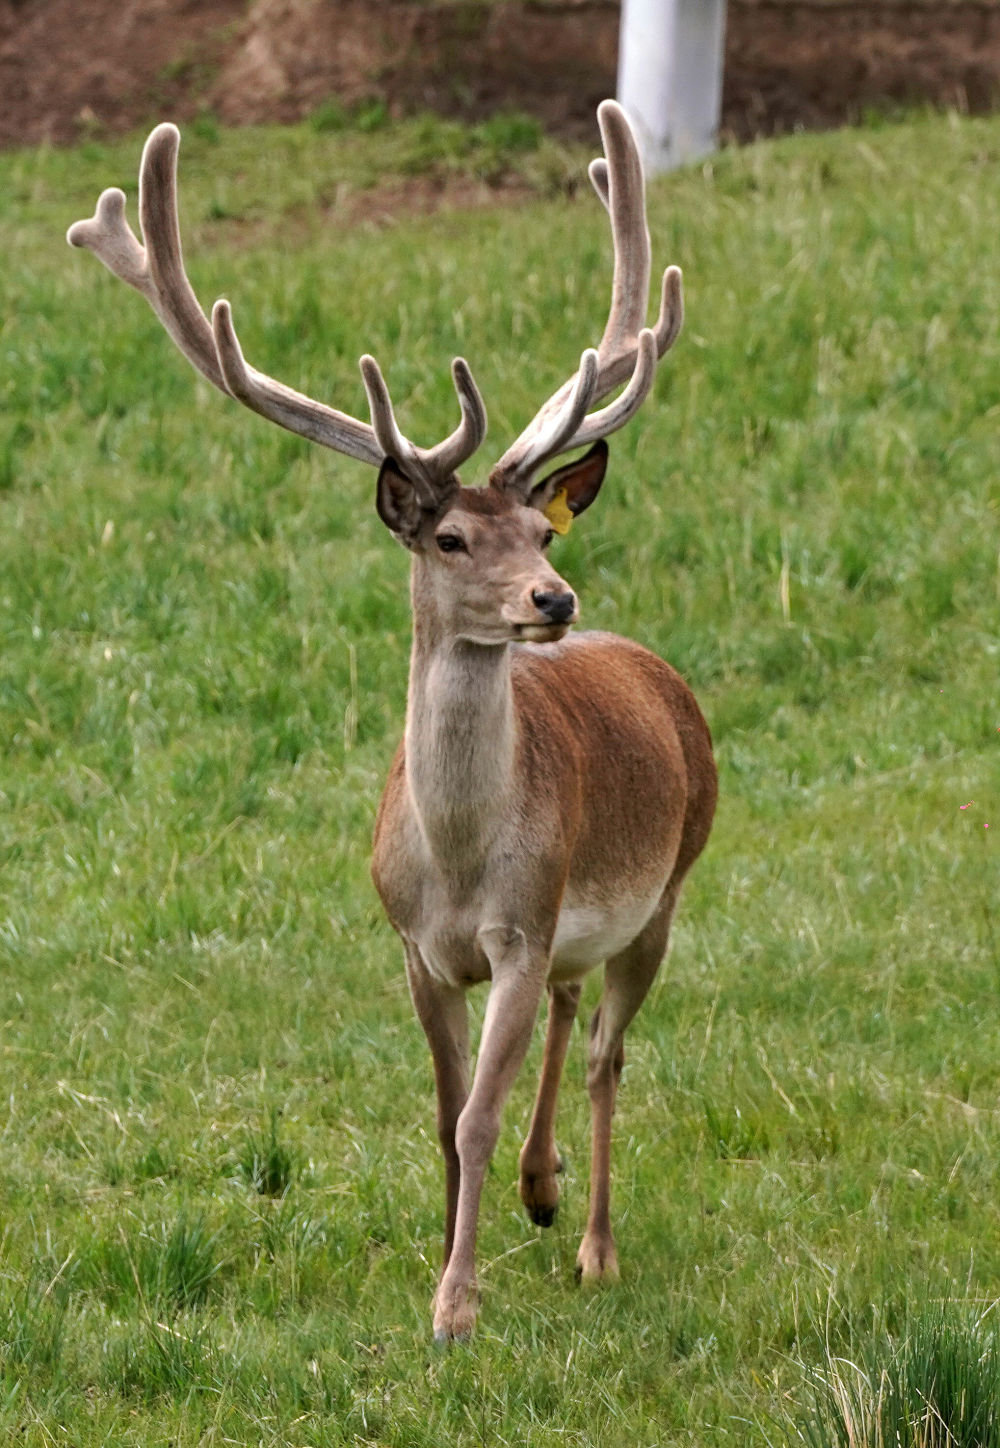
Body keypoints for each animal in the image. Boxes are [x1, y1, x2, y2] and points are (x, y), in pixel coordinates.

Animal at [68, 102, 720, 1337]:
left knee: (607, 1052)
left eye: (543, 532)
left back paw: (593, 1242)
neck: (460, 862)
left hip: (664, 887)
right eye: (451, 537)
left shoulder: (519, 930)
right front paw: (450, 1250)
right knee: (574, 1014)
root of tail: (660, 676)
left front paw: (454, 1305)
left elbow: (476, 1112)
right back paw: (540, 1189)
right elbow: (444, 1114)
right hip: (580, 921)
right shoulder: (415, 946)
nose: (553, 600)